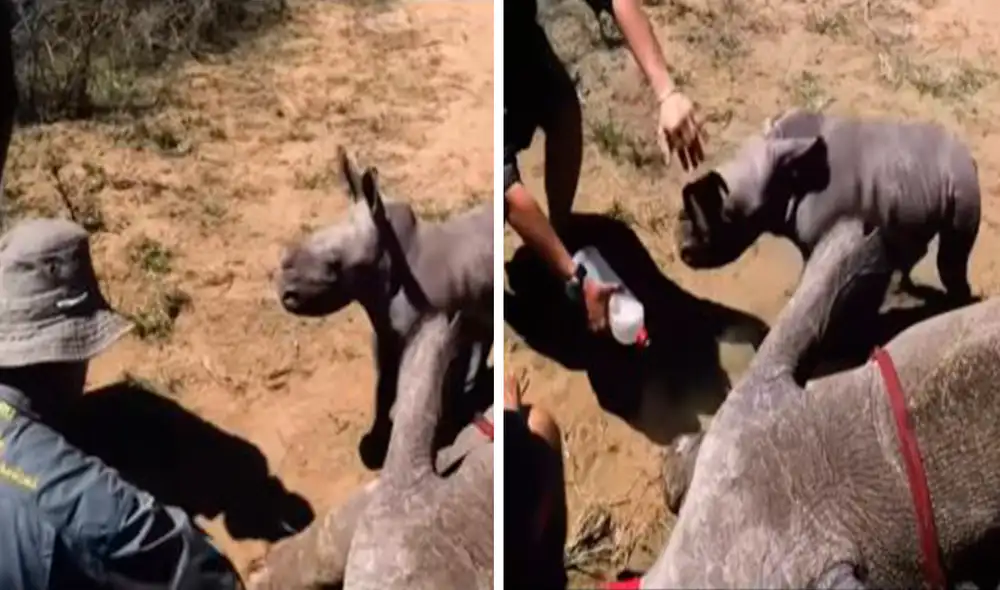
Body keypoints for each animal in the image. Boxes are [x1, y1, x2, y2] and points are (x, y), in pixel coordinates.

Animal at [677, 108, 980, 303]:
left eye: (730, 217)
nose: (682, 249)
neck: (787, 180)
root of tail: (970, 160)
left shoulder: (820, 236)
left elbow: (812, 276)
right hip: (914, 186)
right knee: (910, 243)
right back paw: (901, 288)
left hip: (964, 185)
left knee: (951, 256)